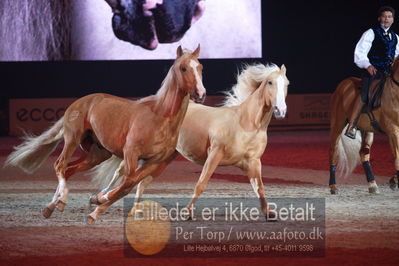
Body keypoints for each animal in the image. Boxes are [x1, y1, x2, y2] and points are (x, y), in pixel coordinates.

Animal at [5, 45, 206, 224]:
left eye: (200, 67)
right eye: (183, 67)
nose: (201, 93)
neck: (159, 117)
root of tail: (80, 102)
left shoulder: (154, 162)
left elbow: (128, 186)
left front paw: (97, 203)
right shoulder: (131, 153)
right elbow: (126, 182)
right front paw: (97, 205)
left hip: (97, 154)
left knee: (69, 170)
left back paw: (51, 207)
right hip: (72, 139)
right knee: (59, 166)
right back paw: (61, 201)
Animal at [92, 63, 290, 219]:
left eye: (287, 83)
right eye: (270, 82)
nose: (281, 110)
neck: (245, 124)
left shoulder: (253, 163)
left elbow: (260, 188)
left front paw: (269, 213)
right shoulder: (215, 155)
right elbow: (200, 184)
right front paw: (187, 213)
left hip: (164, 158)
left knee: (141, 181)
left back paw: (135, 210)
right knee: (121, 173)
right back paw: (100, 197)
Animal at [330, 56, 399, 193]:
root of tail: (344, 84)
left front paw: (393, 181)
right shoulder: (393, 131)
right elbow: (398, 158)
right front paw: (393, 181)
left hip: (367, 129)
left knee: (363, 153)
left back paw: (372, 184)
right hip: (337, 125)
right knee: (333, 151)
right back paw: (333, 186)